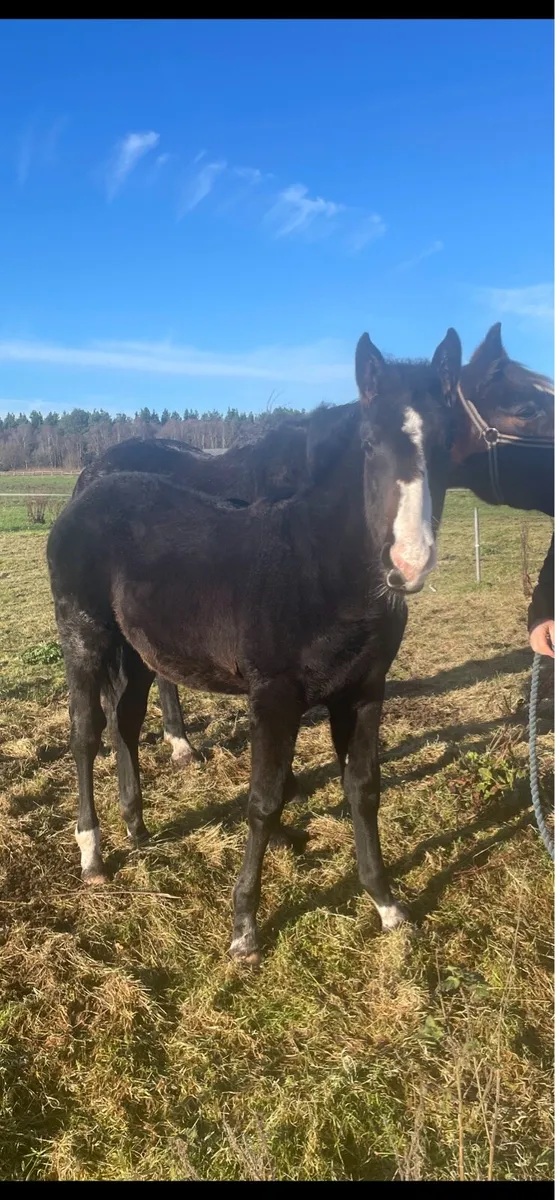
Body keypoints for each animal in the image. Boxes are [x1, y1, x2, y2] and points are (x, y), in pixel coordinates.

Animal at [47, 328, 461, 962]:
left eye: (447, 442)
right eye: (368, 444)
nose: (409, 564)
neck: (319, 567)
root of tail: (85, 492)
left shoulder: (363, 692)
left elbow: (363, 790)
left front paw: (387, 905)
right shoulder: (274, 696)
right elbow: (263, 801)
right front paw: (244, 929)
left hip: (139, 651)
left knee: (125, 722)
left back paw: (137, 829)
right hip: (84, 638)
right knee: (86, 732)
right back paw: (93, 851)